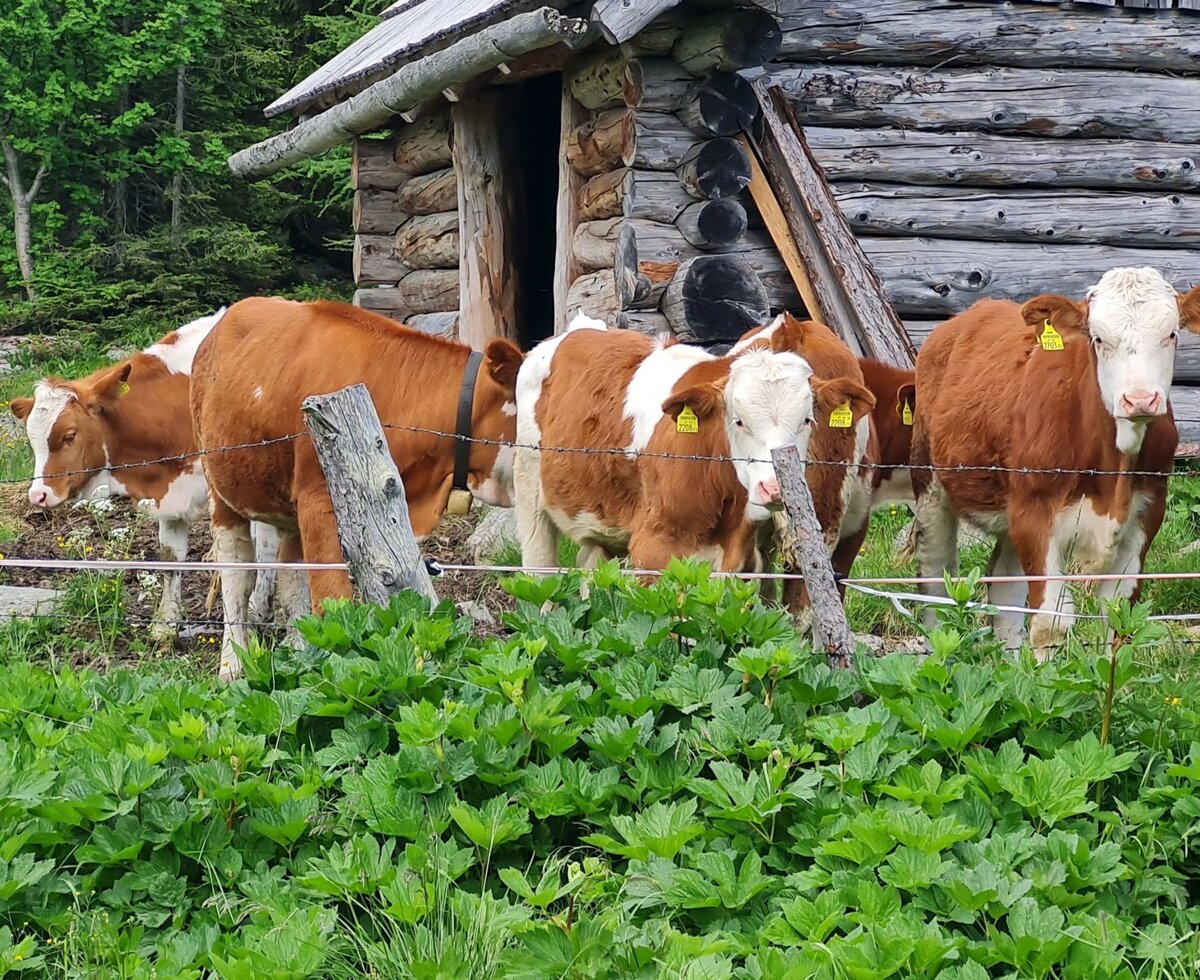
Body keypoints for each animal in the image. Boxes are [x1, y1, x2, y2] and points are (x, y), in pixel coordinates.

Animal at [9, 311, 278, 641]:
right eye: (31, 441)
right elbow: (171, 556)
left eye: (69, 436)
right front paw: (166, 623)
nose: (38, 495)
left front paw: (256, 610)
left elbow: (263, 549)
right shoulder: (169, 494)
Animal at [190, 297, 524, 682]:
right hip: (221, 488)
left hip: (286, 502)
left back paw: (296, 647)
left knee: (290, 572)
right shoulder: (317, 499)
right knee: (236, 575)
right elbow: (332, 597)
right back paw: (232, 665)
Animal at [514, 318, 874, 575]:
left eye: (807, 420)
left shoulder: (740, 560)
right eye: (738, 421)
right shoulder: (654, 549)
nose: (775, 488)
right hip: (530, 497)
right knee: (540, 575)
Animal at [910, 267, 1200, 656]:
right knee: (935, 578)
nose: (1139, 399)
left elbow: (1118, 620)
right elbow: (1051, 624)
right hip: (931, 484)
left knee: (1004, 584)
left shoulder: (1147, 514)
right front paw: (1044, 674)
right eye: (1098, 338)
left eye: (1170, 334)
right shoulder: (1036, 513)